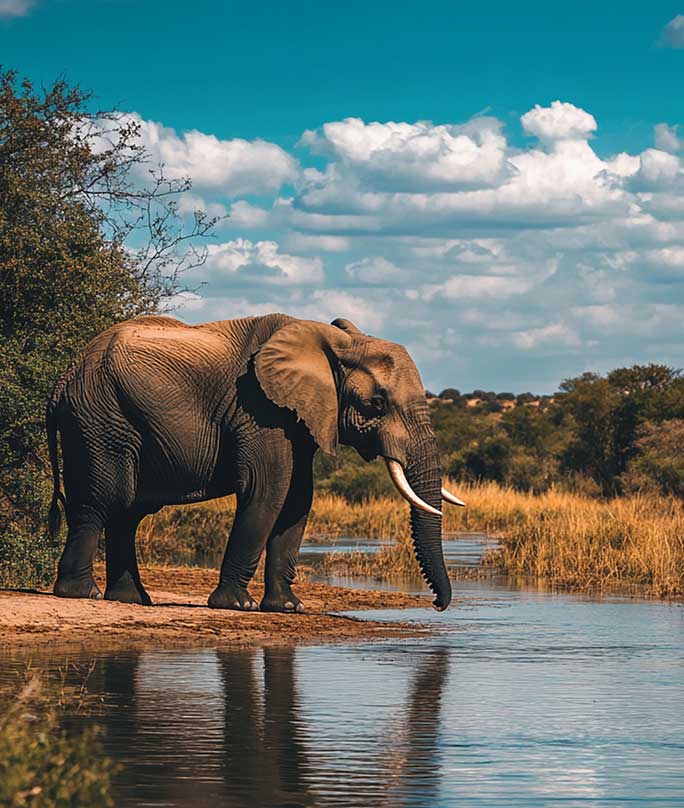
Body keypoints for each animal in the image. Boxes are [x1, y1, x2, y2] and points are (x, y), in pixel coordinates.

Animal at [46, 312, 464, 608]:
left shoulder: (298, 418)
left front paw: (288, 608)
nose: (438, 605)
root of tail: (64, 378)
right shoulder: (259, 409)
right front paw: (237, 605)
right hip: (101, 417)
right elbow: (267, 493)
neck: (334, 343)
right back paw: (81, 594)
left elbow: (298, 501)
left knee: (128, 512)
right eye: (376, 404)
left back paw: (131, 599)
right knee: (105, 500)